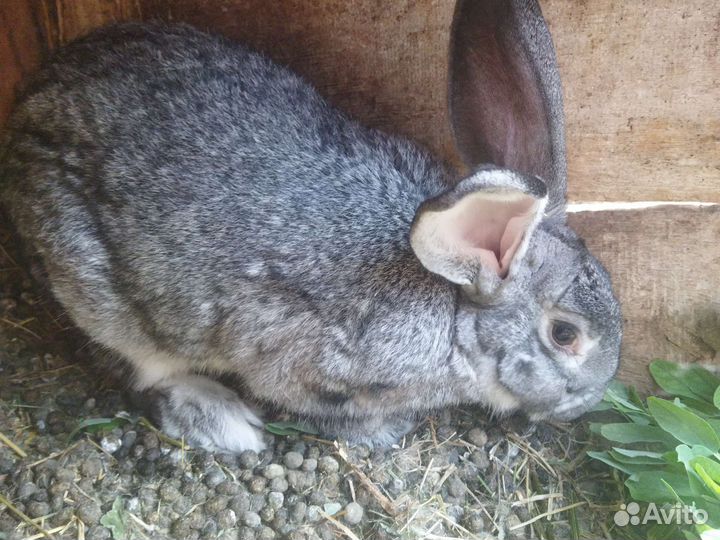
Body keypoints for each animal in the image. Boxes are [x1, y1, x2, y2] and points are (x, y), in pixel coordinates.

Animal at [0, 0, 621, 453]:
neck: (450, 305)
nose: (587, 402)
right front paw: (380, 432)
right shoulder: (303, 367)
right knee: (139, 367)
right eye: (564, 335)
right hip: (96, 291)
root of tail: (24, 115)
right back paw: (221, 421)